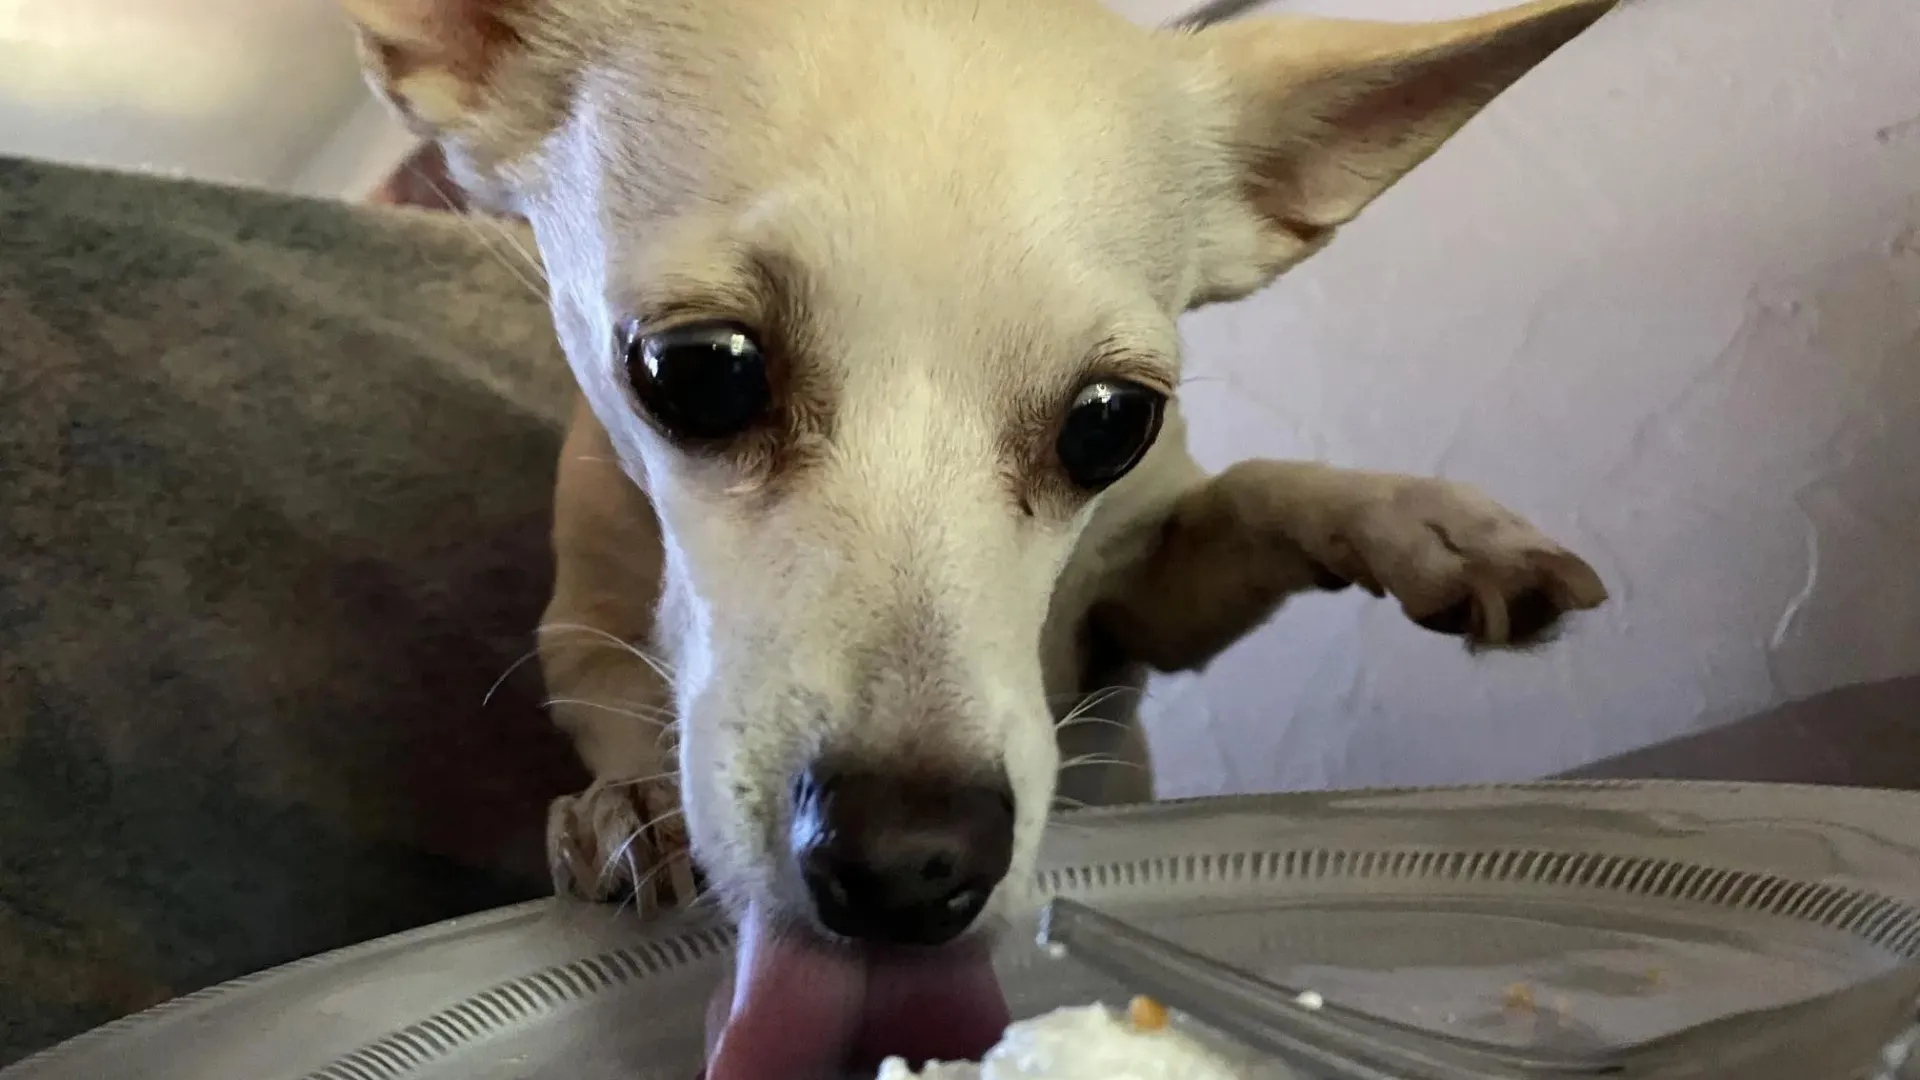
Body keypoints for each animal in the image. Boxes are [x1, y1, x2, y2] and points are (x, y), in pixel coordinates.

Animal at [349, 0, 1620, 1060]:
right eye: (697, 372)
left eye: (1112, 422)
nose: (913, 867)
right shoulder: (578, 625)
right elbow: (616, 698)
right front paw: (632, 804)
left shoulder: (1145, 613)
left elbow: (1260, 486)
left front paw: (1430, 523)